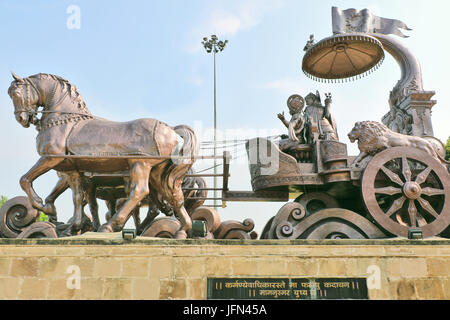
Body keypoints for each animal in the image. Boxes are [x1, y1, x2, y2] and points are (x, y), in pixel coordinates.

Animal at [7, 72, 199, 238]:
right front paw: (73, 227)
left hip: (140, 164)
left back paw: (110, 226)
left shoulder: (50, 158)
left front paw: (44, 206)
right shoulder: (73, 171)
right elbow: (77, 198)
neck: (64, 121)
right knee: (174, 196)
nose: (22, 119)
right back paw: (182, 231)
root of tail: (170, 128)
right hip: (158, 172)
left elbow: (25, 179)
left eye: (15, 92)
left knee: (139, 191)